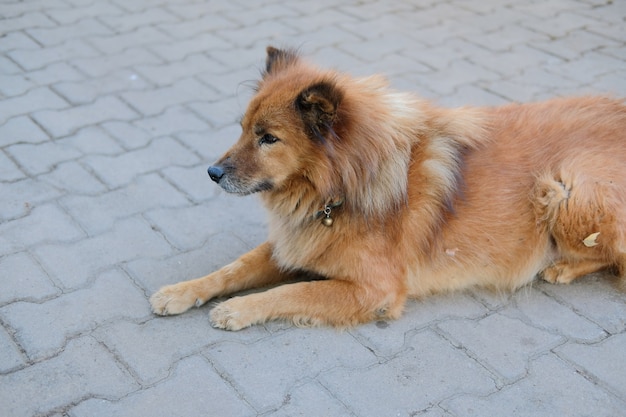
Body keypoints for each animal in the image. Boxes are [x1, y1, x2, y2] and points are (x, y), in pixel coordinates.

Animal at [150, 47, 624, 330]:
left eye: (268, 138)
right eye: (244, 129)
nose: (212, 172)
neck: (338, 189)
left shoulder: (373, 289)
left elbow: (294, 291)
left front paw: (238, 309)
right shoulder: (297, 241)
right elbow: (234, 268)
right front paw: (181, 292)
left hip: (564, 189)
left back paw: (563, 267)